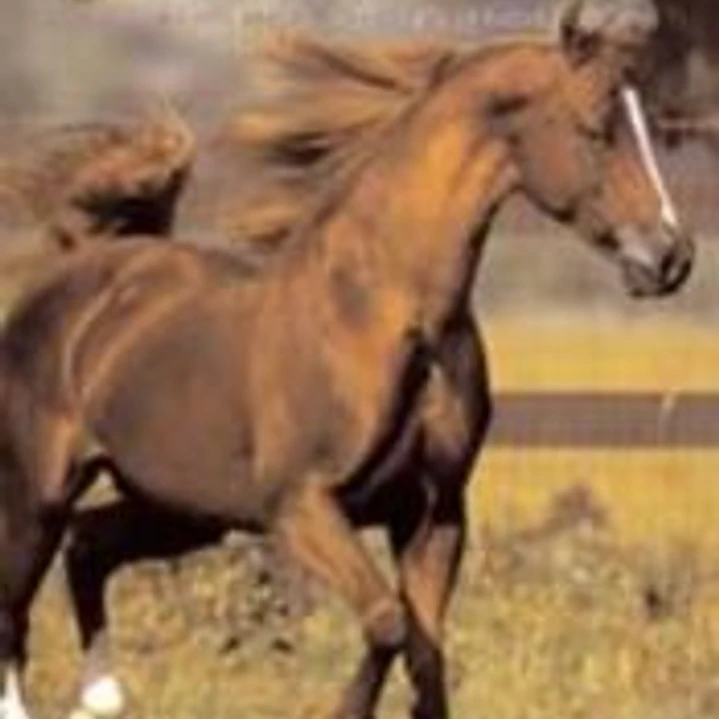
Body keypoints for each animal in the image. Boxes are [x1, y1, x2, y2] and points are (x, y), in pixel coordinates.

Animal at [0, 13, 694, 719]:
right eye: (596, 128)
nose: (671, 257)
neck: (381, 314)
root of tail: (73, 271)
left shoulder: (434, 513)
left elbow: (427, 658)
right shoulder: (303, 505)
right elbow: (388, 623)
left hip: (179, 507)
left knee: (89, 545)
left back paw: (102, 699)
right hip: (38, 494)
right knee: (17, 604)